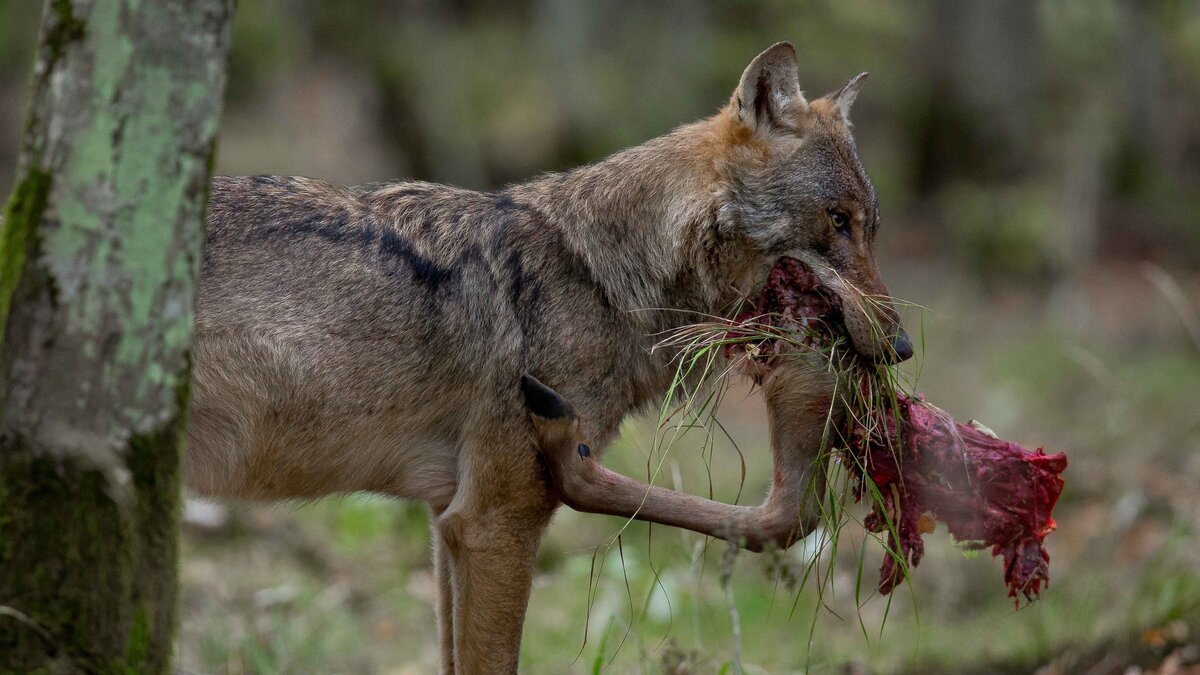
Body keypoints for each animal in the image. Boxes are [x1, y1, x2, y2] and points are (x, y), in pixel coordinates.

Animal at [187, 42, 910, 674]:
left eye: (872, 227)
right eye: (837, 220)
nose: (903, 347)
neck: (603, 280)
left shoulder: (447, 521)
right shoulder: (492, 522)